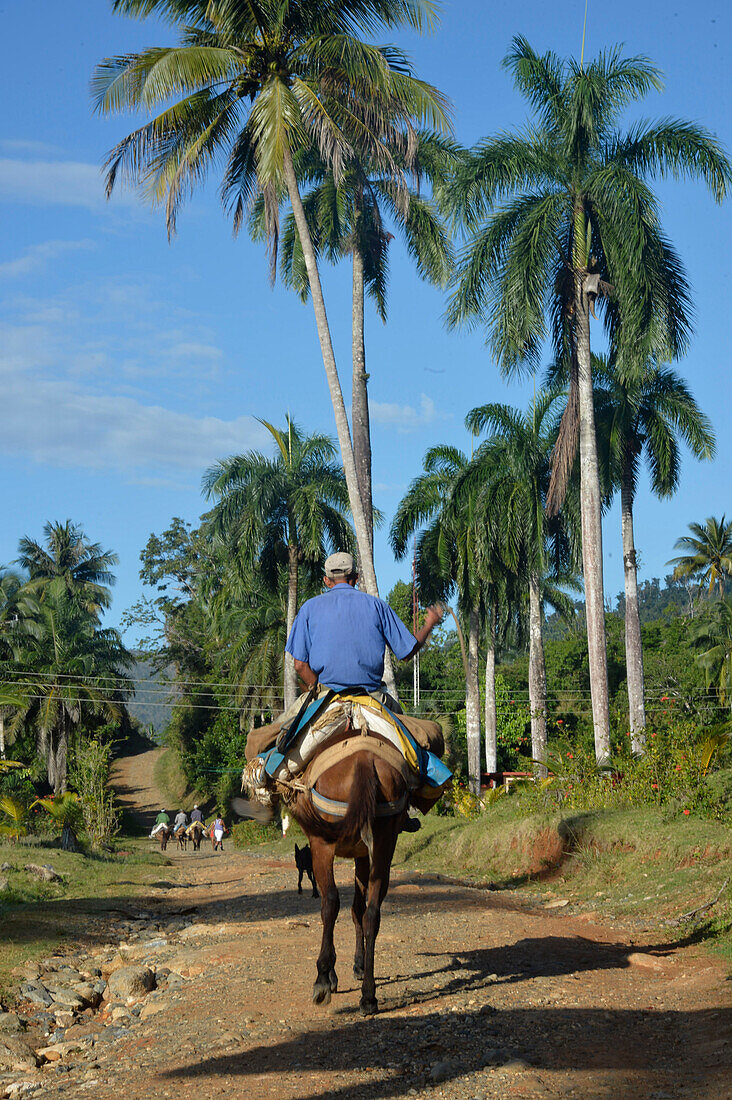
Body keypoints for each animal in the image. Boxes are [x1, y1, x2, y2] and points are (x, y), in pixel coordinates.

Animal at [281, 734, 407, 1016]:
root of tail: (364, 761)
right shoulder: (363, 854)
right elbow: (358, 909)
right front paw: (359, 965)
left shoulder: (324, 847)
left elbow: (335, 906)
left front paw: (330, 975)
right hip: (385, 843)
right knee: (372, 913)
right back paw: (369, 996)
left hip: (322, 845)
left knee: (330, 903)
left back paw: (323, 980)